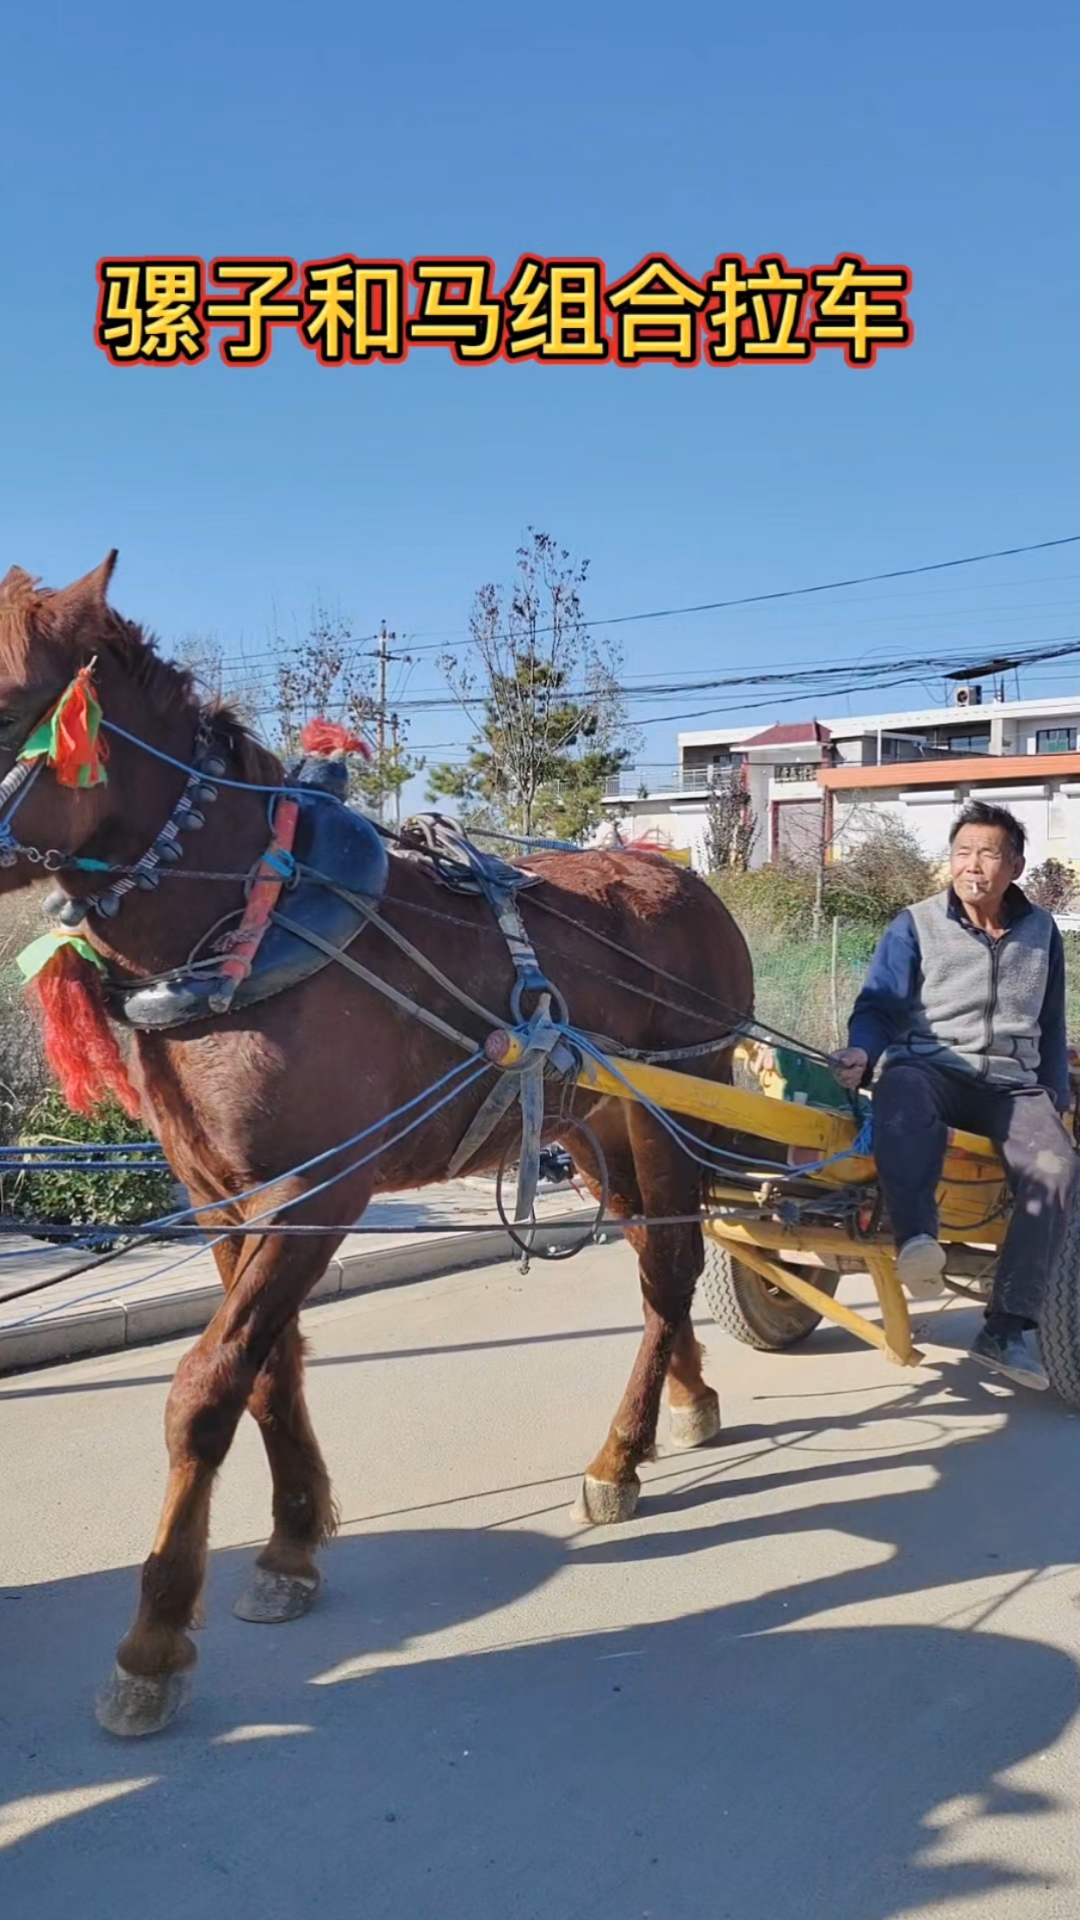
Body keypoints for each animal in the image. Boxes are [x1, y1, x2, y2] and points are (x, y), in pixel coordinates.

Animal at [0, 556, 749, 1743]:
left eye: (4, 705)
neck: (245, 923)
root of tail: (683, 878)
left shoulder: (319, 1192)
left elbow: (206, 1387)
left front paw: (154, 1639)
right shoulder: (222, 1197)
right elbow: (270, 1371)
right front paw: (292, 1545)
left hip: (682, 1099)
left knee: (673, 1264)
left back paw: (619, 1455)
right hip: (592, 1128)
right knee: (649, 1266)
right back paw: (688, 1396)